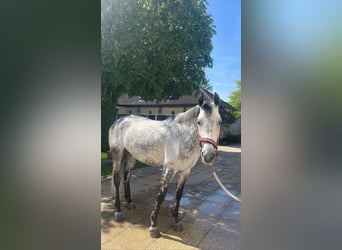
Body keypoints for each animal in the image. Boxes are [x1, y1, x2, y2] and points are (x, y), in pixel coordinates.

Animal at [108, 92, 223, 238]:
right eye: (199, 122)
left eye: (219, 122)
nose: (208, 156)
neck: (181, 138)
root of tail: (119, 120)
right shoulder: (168, 169)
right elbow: (161, 196)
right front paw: (153, 227)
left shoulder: (185, 172)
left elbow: (178, 196)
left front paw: (176, 222)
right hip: (117, 154)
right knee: (117, 179)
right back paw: (118, 211)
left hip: (131, 155)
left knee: (127, 176)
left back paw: (129, 202)